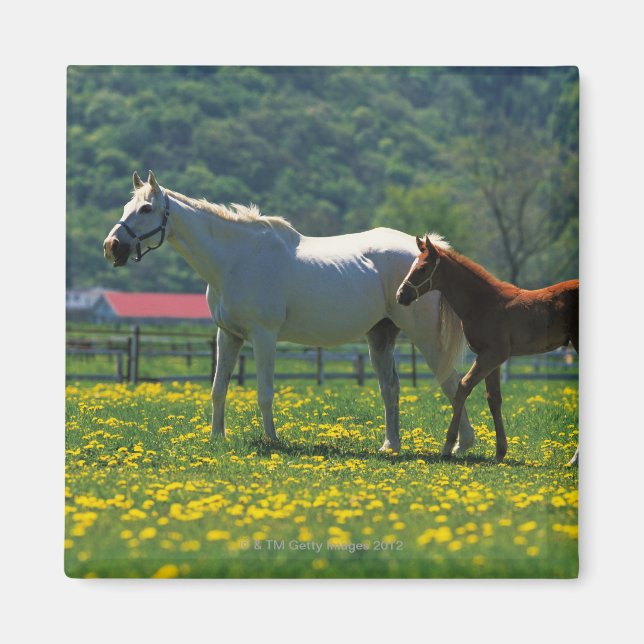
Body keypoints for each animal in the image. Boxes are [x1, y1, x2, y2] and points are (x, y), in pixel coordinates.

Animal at [103, 171, 475, 455]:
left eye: (146, 208)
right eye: (125, 206)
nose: (111, 247)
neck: (236, 258)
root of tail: (431, 254)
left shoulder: (263, 337)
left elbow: (264, 393)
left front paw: (272, 439)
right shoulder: (229, 335)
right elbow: (218, 388)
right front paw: (216, 438)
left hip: (426, 338)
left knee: (451, 383)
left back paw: (461, 445)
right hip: (380, 337)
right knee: (391, 389)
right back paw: (391, 446)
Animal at [396, 234, 579, 466]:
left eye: (422, 268)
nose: (400, 295)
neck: (485, 303)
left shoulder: (491, 355)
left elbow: (463, 387)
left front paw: (449, 446)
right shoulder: (493, 359)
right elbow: (494, 399)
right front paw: (500, 452)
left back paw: (574, 459)